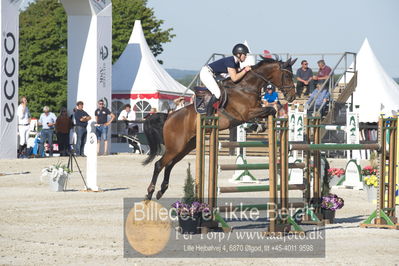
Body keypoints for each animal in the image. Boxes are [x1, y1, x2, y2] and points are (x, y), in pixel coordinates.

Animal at [143, 57, 296, 201]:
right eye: (287, 75)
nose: (292, 96)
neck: (246, 88)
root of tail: (169, 116)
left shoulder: (253, 111)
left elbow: (269, 111)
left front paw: (258, 126)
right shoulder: (246, 113)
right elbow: (270, 109)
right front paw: (258, 125)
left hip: (186, 147)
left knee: (169, 164)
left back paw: (161, 190)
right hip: (175, 146)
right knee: (159, 164)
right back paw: (150, 192)